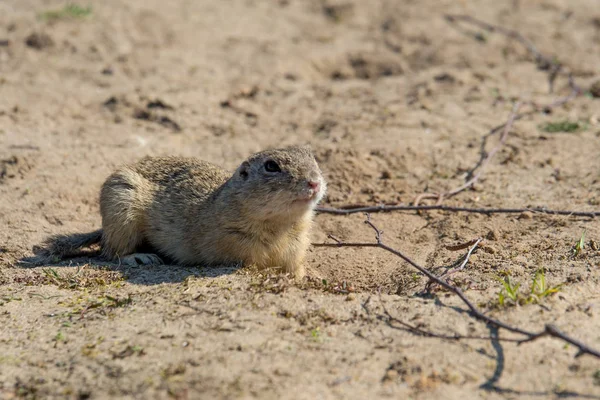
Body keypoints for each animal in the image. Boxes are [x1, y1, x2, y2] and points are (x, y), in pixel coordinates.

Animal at [38, 145, 326, 278]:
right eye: (271, 166)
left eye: (312, 156)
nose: (315, 182)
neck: (281, 226)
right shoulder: (239, 248)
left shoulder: (296, 249)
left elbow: (296, 269)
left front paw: (307, 276)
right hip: (120, 206)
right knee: (110, 252)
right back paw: (141, 258)